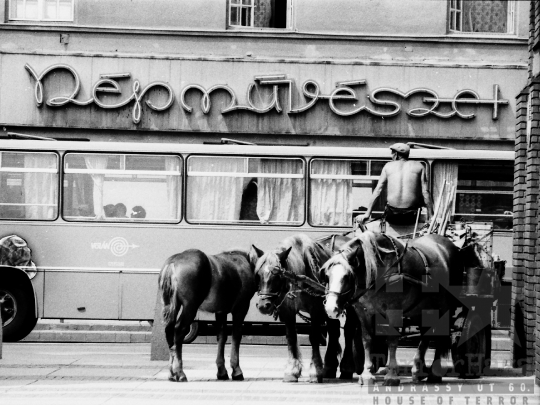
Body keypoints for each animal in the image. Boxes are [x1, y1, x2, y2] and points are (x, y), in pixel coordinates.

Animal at [159, 248, 256, 380]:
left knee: (169, 330)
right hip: (190, 306)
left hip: (171, 304)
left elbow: (221, 336)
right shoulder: (241, 307)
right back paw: (179, 372)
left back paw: (171, 372)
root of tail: (173, 263)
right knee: (179, 329)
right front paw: (236, 370)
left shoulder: (221, 311)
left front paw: (222, 371)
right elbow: (236, 335)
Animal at [250, 234, 360, 382]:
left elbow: (314, 337)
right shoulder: (288, 310)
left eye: (278, 276)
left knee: (348, 331)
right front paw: (292, 370)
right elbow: (291, 337)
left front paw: (315, 371)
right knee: (334, 330)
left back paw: (346, 368)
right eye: (258, 275)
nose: (263, 305)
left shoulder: (316, 310)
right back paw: (330, 367)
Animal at [318, 230, 462, 386]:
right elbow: (367, 339)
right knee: (426, 335)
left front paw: (391, 375)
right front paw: (367, 374)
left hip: (445, 308)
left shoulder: (394, 310)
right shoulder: (363, 310)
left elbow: (392, 339)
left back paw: (434, 374)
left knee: (439, 334)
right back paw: (418, 370)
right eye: (327, 276)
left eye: (347, 276)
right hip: (424, 309)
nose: (331, 308)